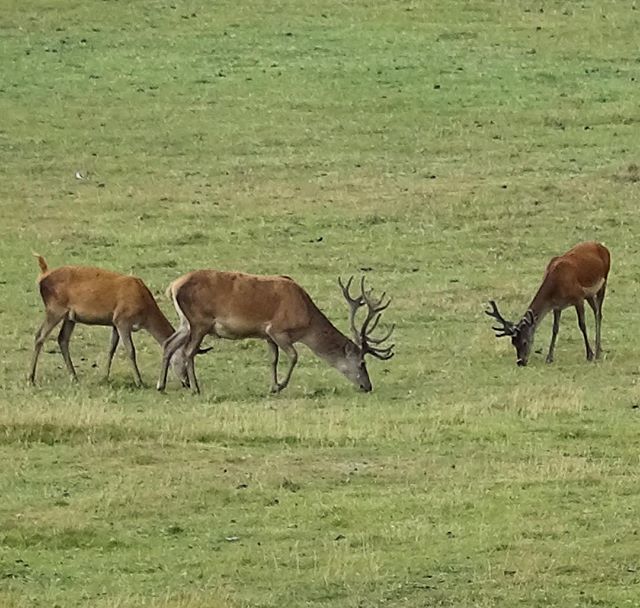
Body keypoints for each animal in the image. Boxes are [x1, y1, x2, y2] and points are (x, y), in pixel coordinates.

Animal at [29, 255, 205, 386]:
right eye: (183, 360)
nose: (187, 382)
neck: (145, 311)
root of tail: (42, 276)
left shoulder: (114, 322)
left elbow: (111, 349)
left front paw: (105, 377)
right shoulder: (122, 320)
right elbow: (130, 350)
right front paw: (139, 381)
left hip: (70, 316)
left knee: (62, 339)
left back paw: (74, 377)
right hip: (55, 309)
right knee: (40, 336)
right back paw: (31, 378)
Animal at [156, 271, 395, 394]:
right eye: (362, 363)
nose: (368, 386)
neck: (306, 321)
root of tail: (173, 286)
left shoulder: (267, 335)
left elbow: (273, 359)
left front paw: (272, 386)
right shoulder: (278, 329)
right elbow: (294, 356)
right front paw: (280, 385)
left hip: (185, 322)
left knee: (169, 344)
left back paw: (161, 385)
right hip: (200, 322)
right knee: (188, 352)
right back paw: (195, 388)